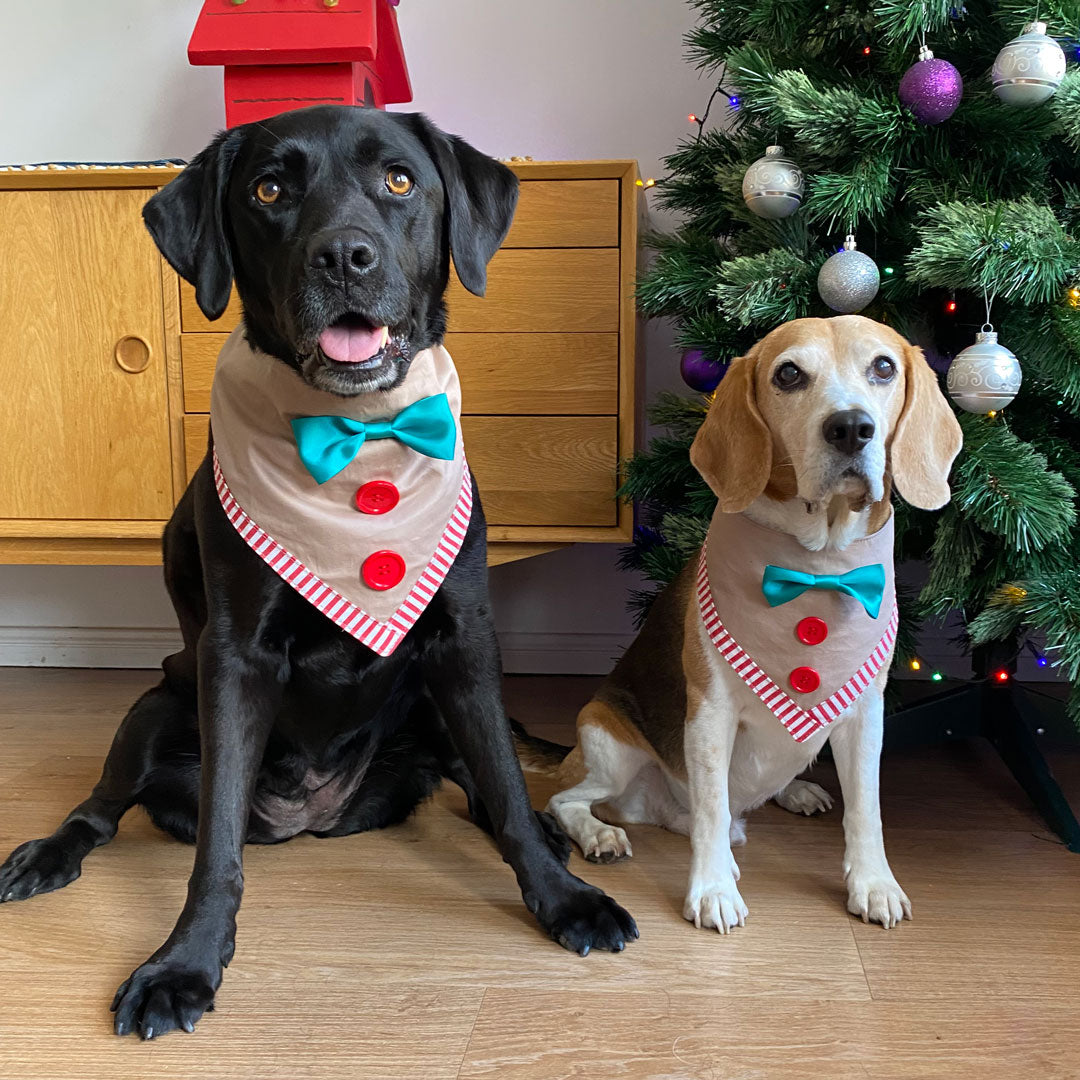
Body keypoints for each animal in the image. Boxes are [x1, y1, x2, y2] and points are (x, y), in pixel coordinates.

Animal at [0, 107, 635, 1036]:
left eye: (400, 180)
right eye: (269, 189)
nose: (344, 257)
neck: (358, 434)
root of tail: (314, 818)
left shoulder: (464, 641)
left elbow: (507, 785)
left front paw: (562, 898)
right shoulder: (234, 658)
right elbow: (216, 839)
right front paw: (184, 963)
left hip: (425, 703)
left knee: (478, 781)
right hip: (155, 705)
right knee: (104, 806)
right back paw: (49, 853)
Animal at [531, 313, 963, 928]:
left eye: (883, 367)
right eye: (789, 374)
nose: (851, 428)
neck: (816, 566)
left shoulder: (866, 716)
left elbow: (866, 808)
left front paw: (874, 883)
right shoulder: (710, 714)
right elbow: (712, 809)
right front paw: (712, 889)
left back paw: (795, 790)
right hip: (607, 744)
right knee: (570, 801)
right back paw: (601, 834)